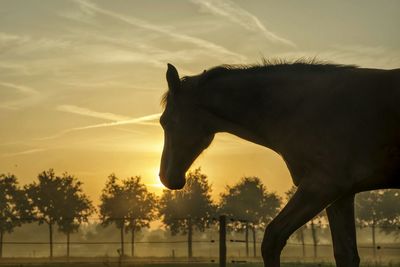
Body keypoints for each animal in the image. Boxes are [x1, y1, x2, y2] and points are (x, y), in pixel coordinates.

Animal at [158, 60, 398, 267]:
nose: (165, 177)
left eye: (165, 121)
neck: (305, 108)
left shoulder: (322, 186)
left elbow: (272, 239)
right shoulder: (341, 196)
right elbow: (345, 255)